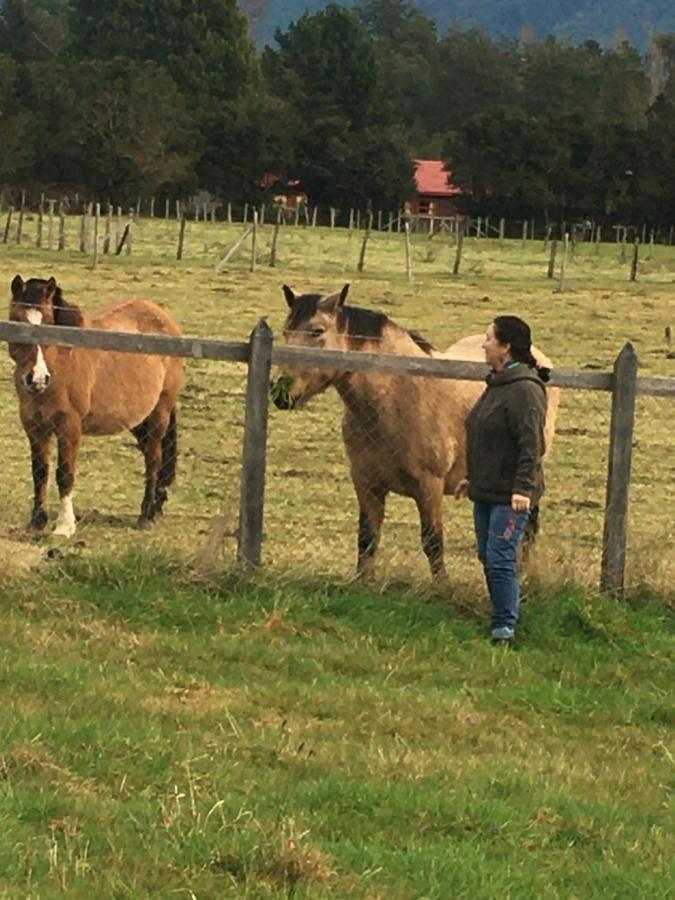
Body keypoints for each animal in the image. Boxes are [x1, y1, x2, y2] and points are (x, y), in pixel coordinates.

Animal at [6, 274, 185, 536]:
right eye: (17, 320)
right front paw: (37, 521)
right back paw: (156, 507)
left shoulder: (69, 427)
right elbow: (40, 472)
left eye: (48, 321)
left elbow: (64, 474)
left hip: (159, 414)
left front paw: (64, 526)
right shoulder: (34, 426)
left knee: (154, 458)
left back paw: (146, 515)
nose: (37, 378)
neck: (61, 364)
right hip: (137, 418)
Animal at [270, 288, 560, 580]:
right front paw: (363, 582)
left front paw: (441, 585)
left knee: (528, 526)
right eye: (285, 331)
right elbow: (367, 538)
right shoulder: (366, 484)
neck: (398, 397)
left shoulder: (429, 487)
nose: (279, 391)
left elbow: (432, 542)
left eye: (316, 330)